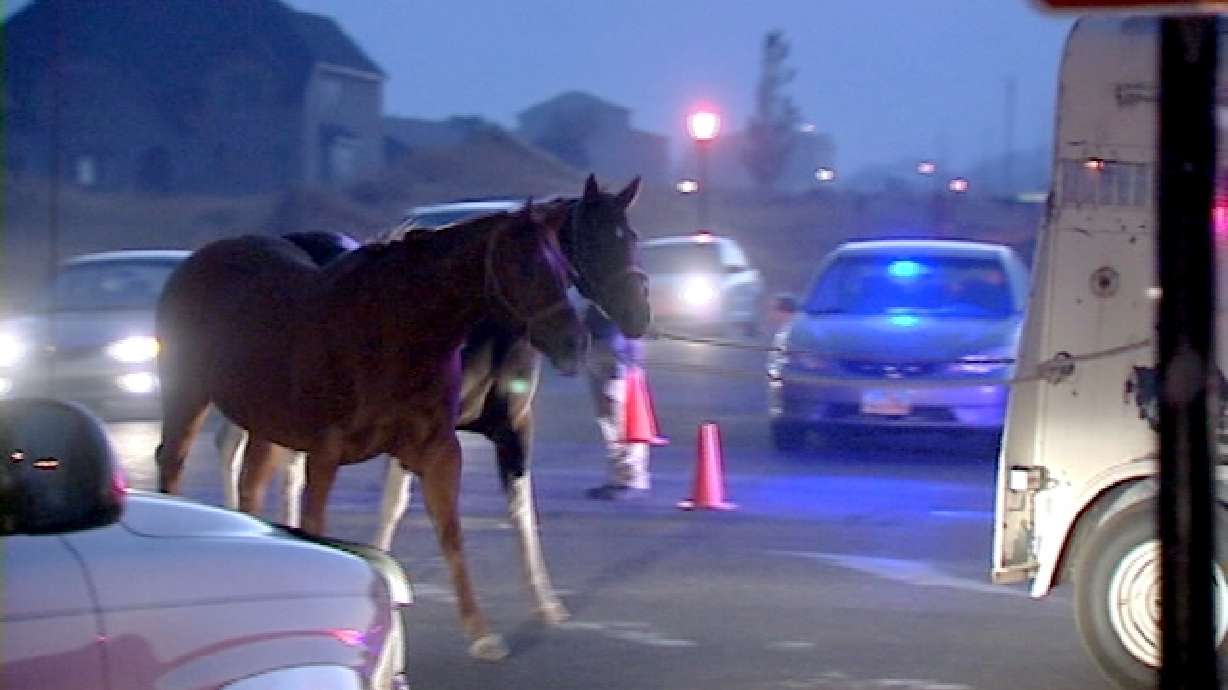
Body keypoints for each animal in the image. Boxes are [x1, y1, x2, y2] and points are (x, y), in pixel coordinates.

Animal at [154, 203, 587, 662]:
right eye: (525, 268)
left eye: (565, 269)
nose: (575, 343)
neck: (395, 328)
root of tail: (197, 260)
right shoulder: (326, 452)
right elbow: (318, 526)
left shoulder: (437, 450)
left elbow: (450, 534)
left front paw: (482, 634)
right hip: (187, 397)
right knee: (174, 463)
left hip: (265, 425)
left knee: (249, 483)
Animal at [214, 175, 648, 649]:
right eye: (595, 240)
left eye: (632, 237)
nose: (639, 316)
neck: (482, 328)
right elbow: (395, 503)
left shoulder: (512, 427)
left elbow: (520, 510)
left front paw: (547, 605)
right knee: (235, 451)